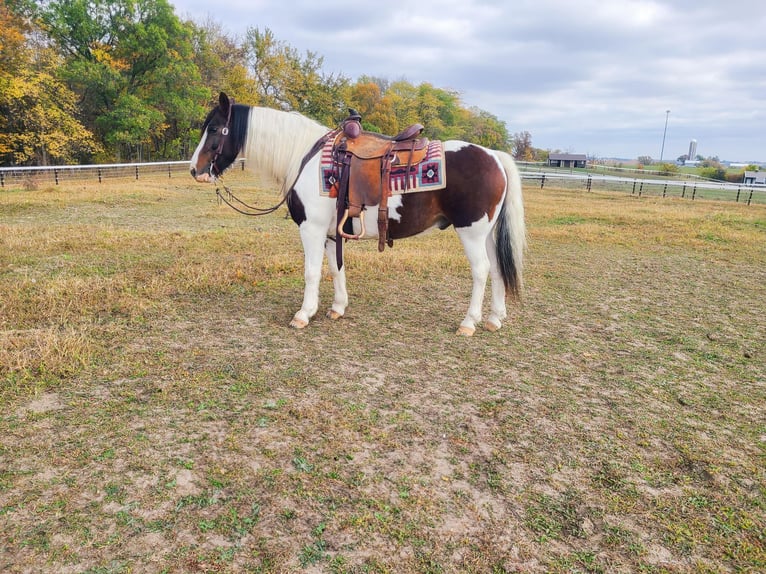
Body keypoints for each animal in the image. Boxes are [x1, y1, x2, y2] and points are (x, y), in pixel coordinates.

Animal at [192, 91, 528, 336]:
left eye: (214, 128)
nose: (196, 170)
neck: (305, 157)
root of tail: (494, 155)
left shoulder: (311, 229)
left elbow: (312, 271)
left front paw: (304, 314)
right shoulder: (331, 233)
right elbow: (335, 268)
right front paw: (337, 308)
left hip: (471, 232)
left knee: (481, 271)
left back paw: (469, 323)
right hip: (486, 234)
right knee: (497, 269)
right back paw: (494, 318)